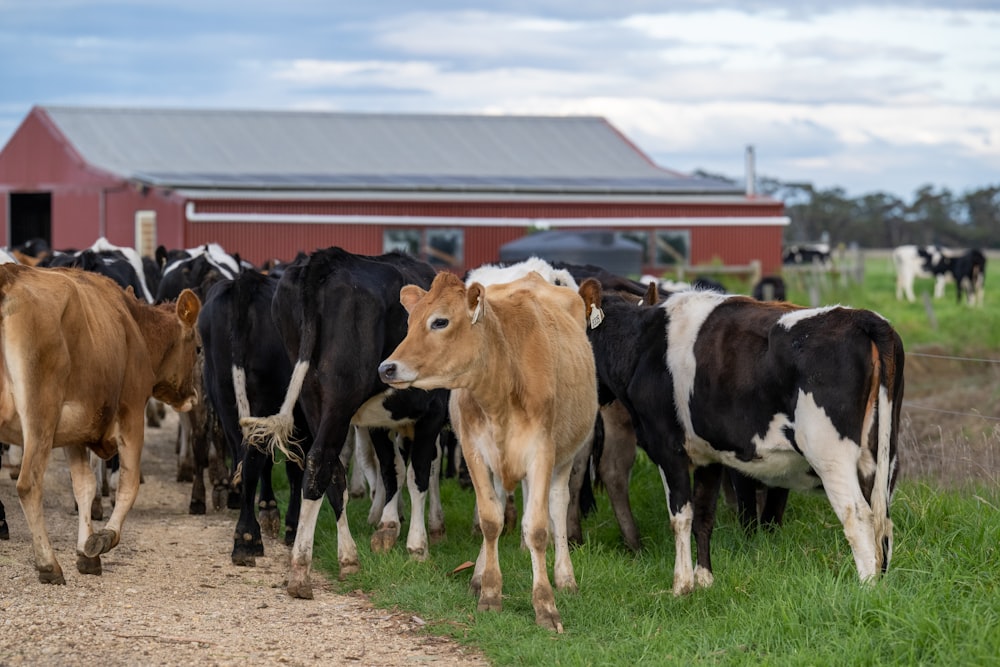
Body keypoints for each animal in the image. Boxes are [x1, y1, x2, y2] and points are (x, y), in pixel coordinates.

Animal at [0, 264, 201, 580]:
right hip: (39, 415)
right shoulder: (131, 415)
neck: (132, 326)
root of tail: (9, 277)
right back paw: (48, 563)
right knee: (29, 484)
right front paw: (105, 537)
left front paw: (86, 552)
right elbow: (129, 484)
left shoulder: (74, 431)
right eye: (199, 349)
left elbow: (84, 485)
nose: (193, 396)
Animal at [240, 247, 448, 600]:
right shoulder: (432, 411)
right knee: (321, 459)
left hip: (312, 396)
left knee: (333, 471)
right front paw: (417, 545)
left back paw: (347, 557)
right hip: (341, 395)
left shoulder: (379, 421)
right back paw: (301, 568)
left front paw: (389, 526)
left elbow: (392, 469)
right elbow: (417, 473)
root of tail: (325, 259)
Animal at [378, 270, 596, 632]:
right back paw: (479, 575)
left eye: (440, 321)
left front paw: (546, 605)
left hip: (567, 455)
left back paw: (566, 578)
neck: (502, 387)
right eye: (409, 321)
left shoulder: (543, 453)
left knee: (557, 505)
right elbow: (490, 520)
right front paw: (490, 592)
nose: (387, 368)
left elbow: (538, 529)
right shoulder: (474, 451)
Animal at [576, 282, 904, 596]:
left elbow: (681, 516)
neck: (642, 346)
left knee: (859, 516)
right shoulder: (708, 457)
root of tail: (861, 316)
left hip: (830, 454)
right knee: (882, 520)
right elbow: (703, 516)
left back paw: (866, 589)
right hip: (880, 458)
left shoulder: (668, 449)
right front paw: (705, 580)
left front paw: (681, 585)